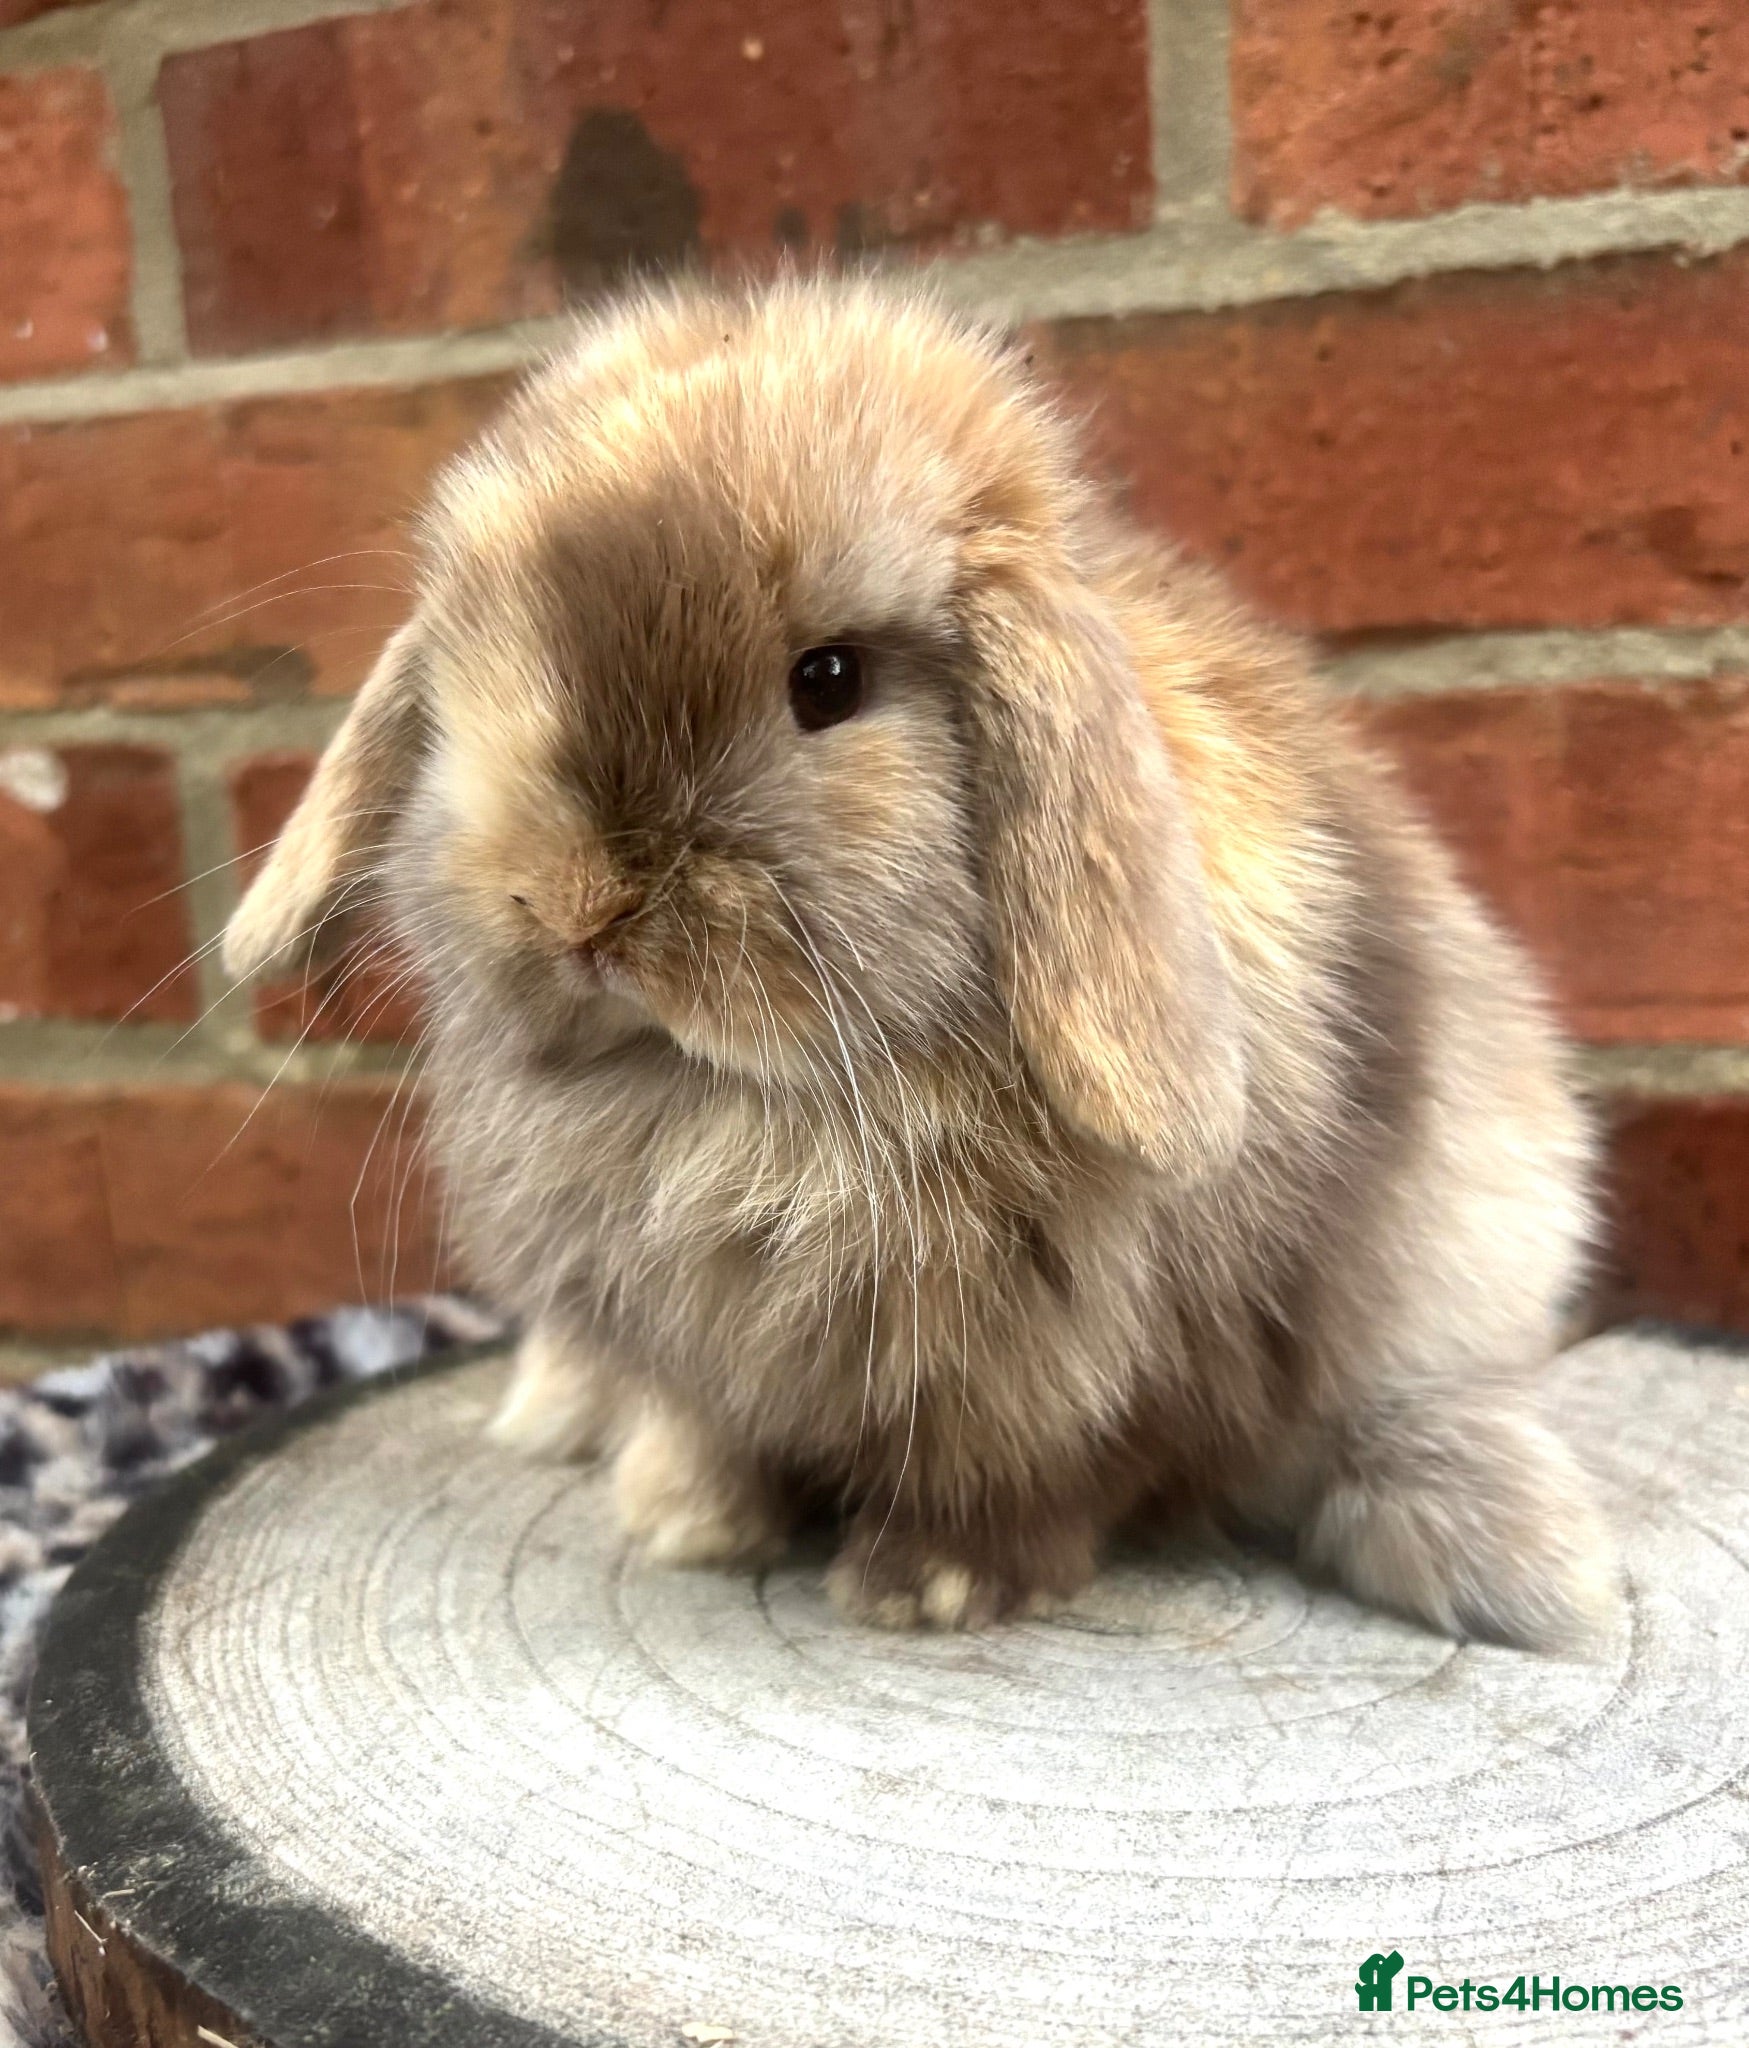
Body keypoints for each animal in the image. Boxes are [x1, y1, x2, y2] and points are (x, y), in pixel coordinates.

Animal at [225, 273, 1614, 1646]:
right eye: (480, 663)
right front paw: (687, 1520)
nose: (575, 907)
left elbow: (1027, 1477)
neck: (734, 1105)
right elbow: (711, 1427)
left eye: (829, 680)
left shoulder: (1093, 1374)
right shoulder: (701, 1354)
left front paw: (929, 1588)